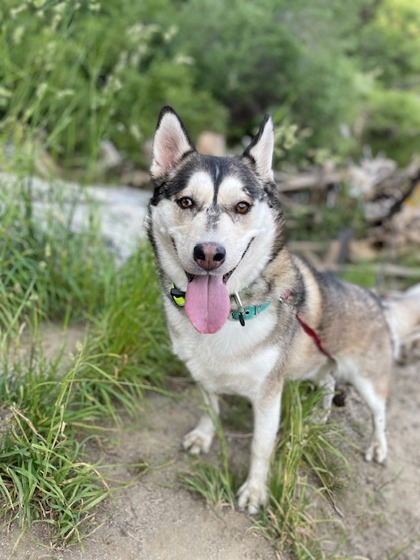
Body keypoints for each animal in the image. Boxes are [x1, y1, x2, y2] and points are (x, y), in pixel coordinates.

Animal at [146, 107, 420, 516]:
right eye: (185, 202)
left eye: (242, 206)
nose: (209, 254)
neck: (232, 314)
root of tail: (376, 298)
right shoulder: (204, 375)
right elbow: (211, 408)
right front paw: (203, 435)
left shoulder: (268, 394)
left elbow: (260, 446)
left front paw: (255, 492)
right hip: (319, 364)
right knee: (328, 382)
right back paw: (320, 415)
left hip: (368, 379)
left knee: (379, 412)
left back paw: (377, 445)